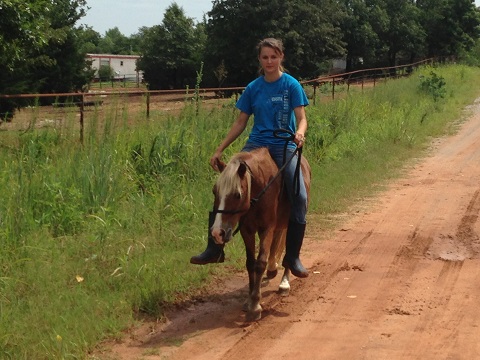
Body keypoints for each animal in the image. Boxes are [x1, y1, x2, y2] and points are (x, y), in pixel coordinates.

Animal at [210, 148, 312, 322]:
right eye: (214, 192)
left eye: (237, 195)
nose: (217, 232)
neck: (259, 190)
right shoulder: (247, 230)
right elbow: (250, 263)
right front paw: (249, 300)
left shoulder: (267, 228)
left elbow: (260, 263)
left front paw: (255, 306)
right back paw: (272, 270)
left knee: (289, 252)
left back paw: (284, 283)